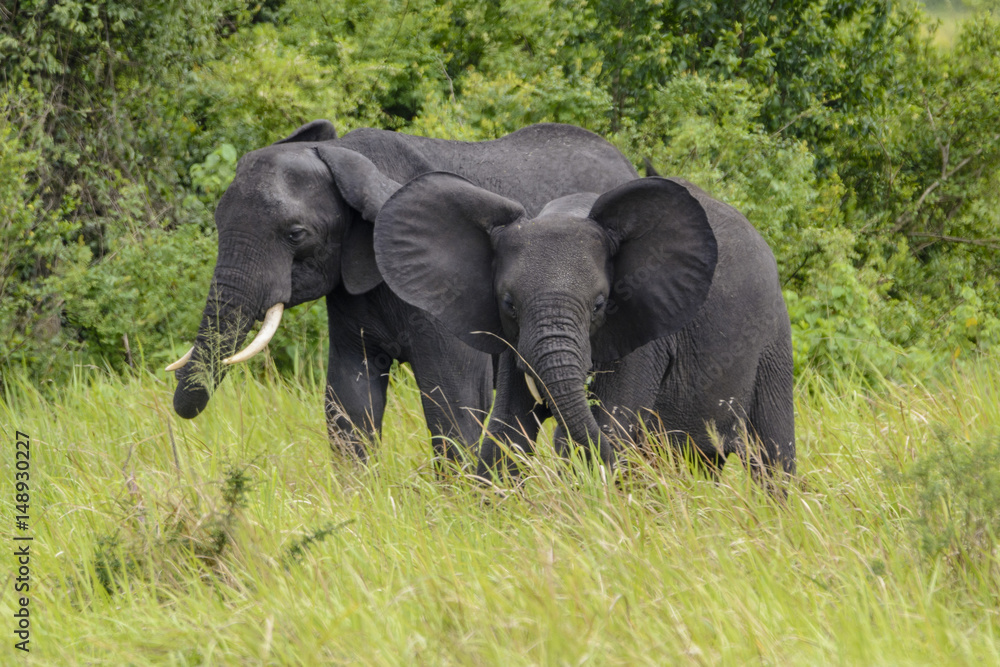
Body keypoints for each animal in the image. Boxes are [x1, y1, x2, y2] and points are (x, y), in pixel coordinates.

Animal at [374, 172, 796, 482]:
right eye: (509, 304)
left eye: (599, 304)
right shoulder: (513, 341)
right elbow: (505, 432)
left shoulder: (641, 333)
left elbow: (607, 425)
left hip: (772, 336)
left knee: (772, 455)